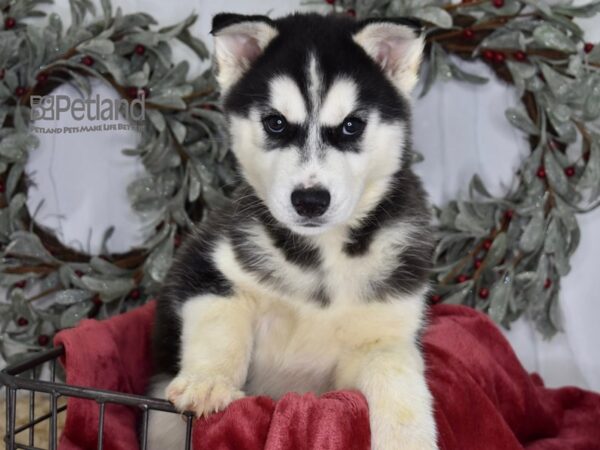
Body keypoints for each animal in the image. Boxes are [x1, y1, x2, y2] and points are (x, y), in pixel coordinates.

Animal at [145, 12, 436, 448]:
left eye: (351, 126)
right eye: (276, 123)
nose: (310, 200)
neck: (322, 253)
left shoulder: (384, 331)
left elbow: (397, 378)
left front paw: (409, 438)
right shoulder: (207, 264)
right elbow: (219, 323)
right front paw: (207, 380)